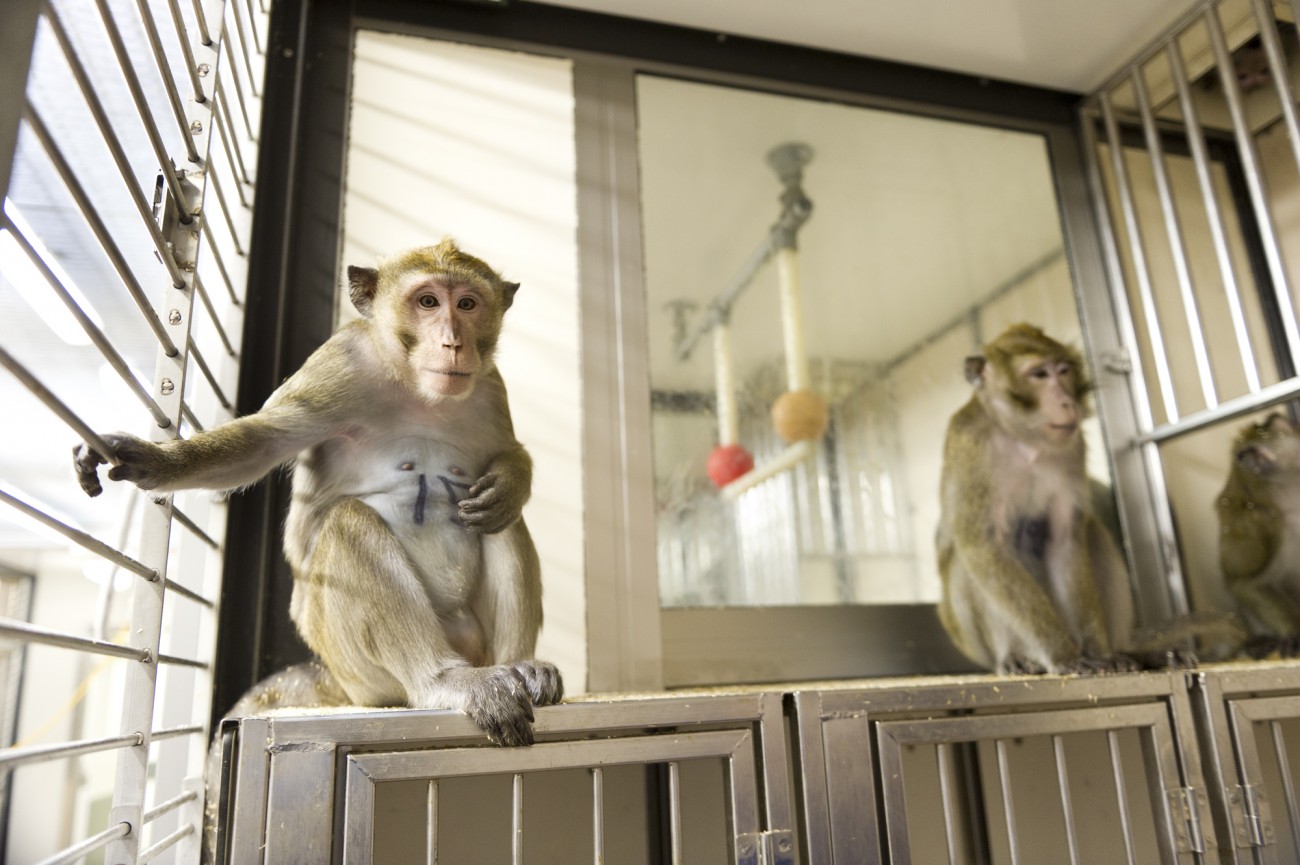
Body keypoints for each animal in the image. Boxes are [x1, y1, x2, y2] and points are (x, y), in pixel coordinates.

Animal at [71, 238, 559, 744]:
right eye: (427, 301)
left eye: (466, 304)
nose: (453, 342)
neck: (415, 385)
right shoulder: (337, 365)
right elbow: (261, 443)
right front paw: (152, 459)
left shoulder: (490, 387)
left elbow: (507, 452)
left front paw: (510, 483)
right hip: (358, 670)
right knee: (347, 522)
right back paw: (444, 681)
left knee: (500, 523)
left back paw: (519, 664)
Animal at [1216, 411, 1300, 655]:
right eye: (1242, 454)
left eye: (1250, 450)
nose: (1248, 458)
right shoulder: (1272, 526)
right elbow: (1248, 584)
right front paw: (1293, 634)